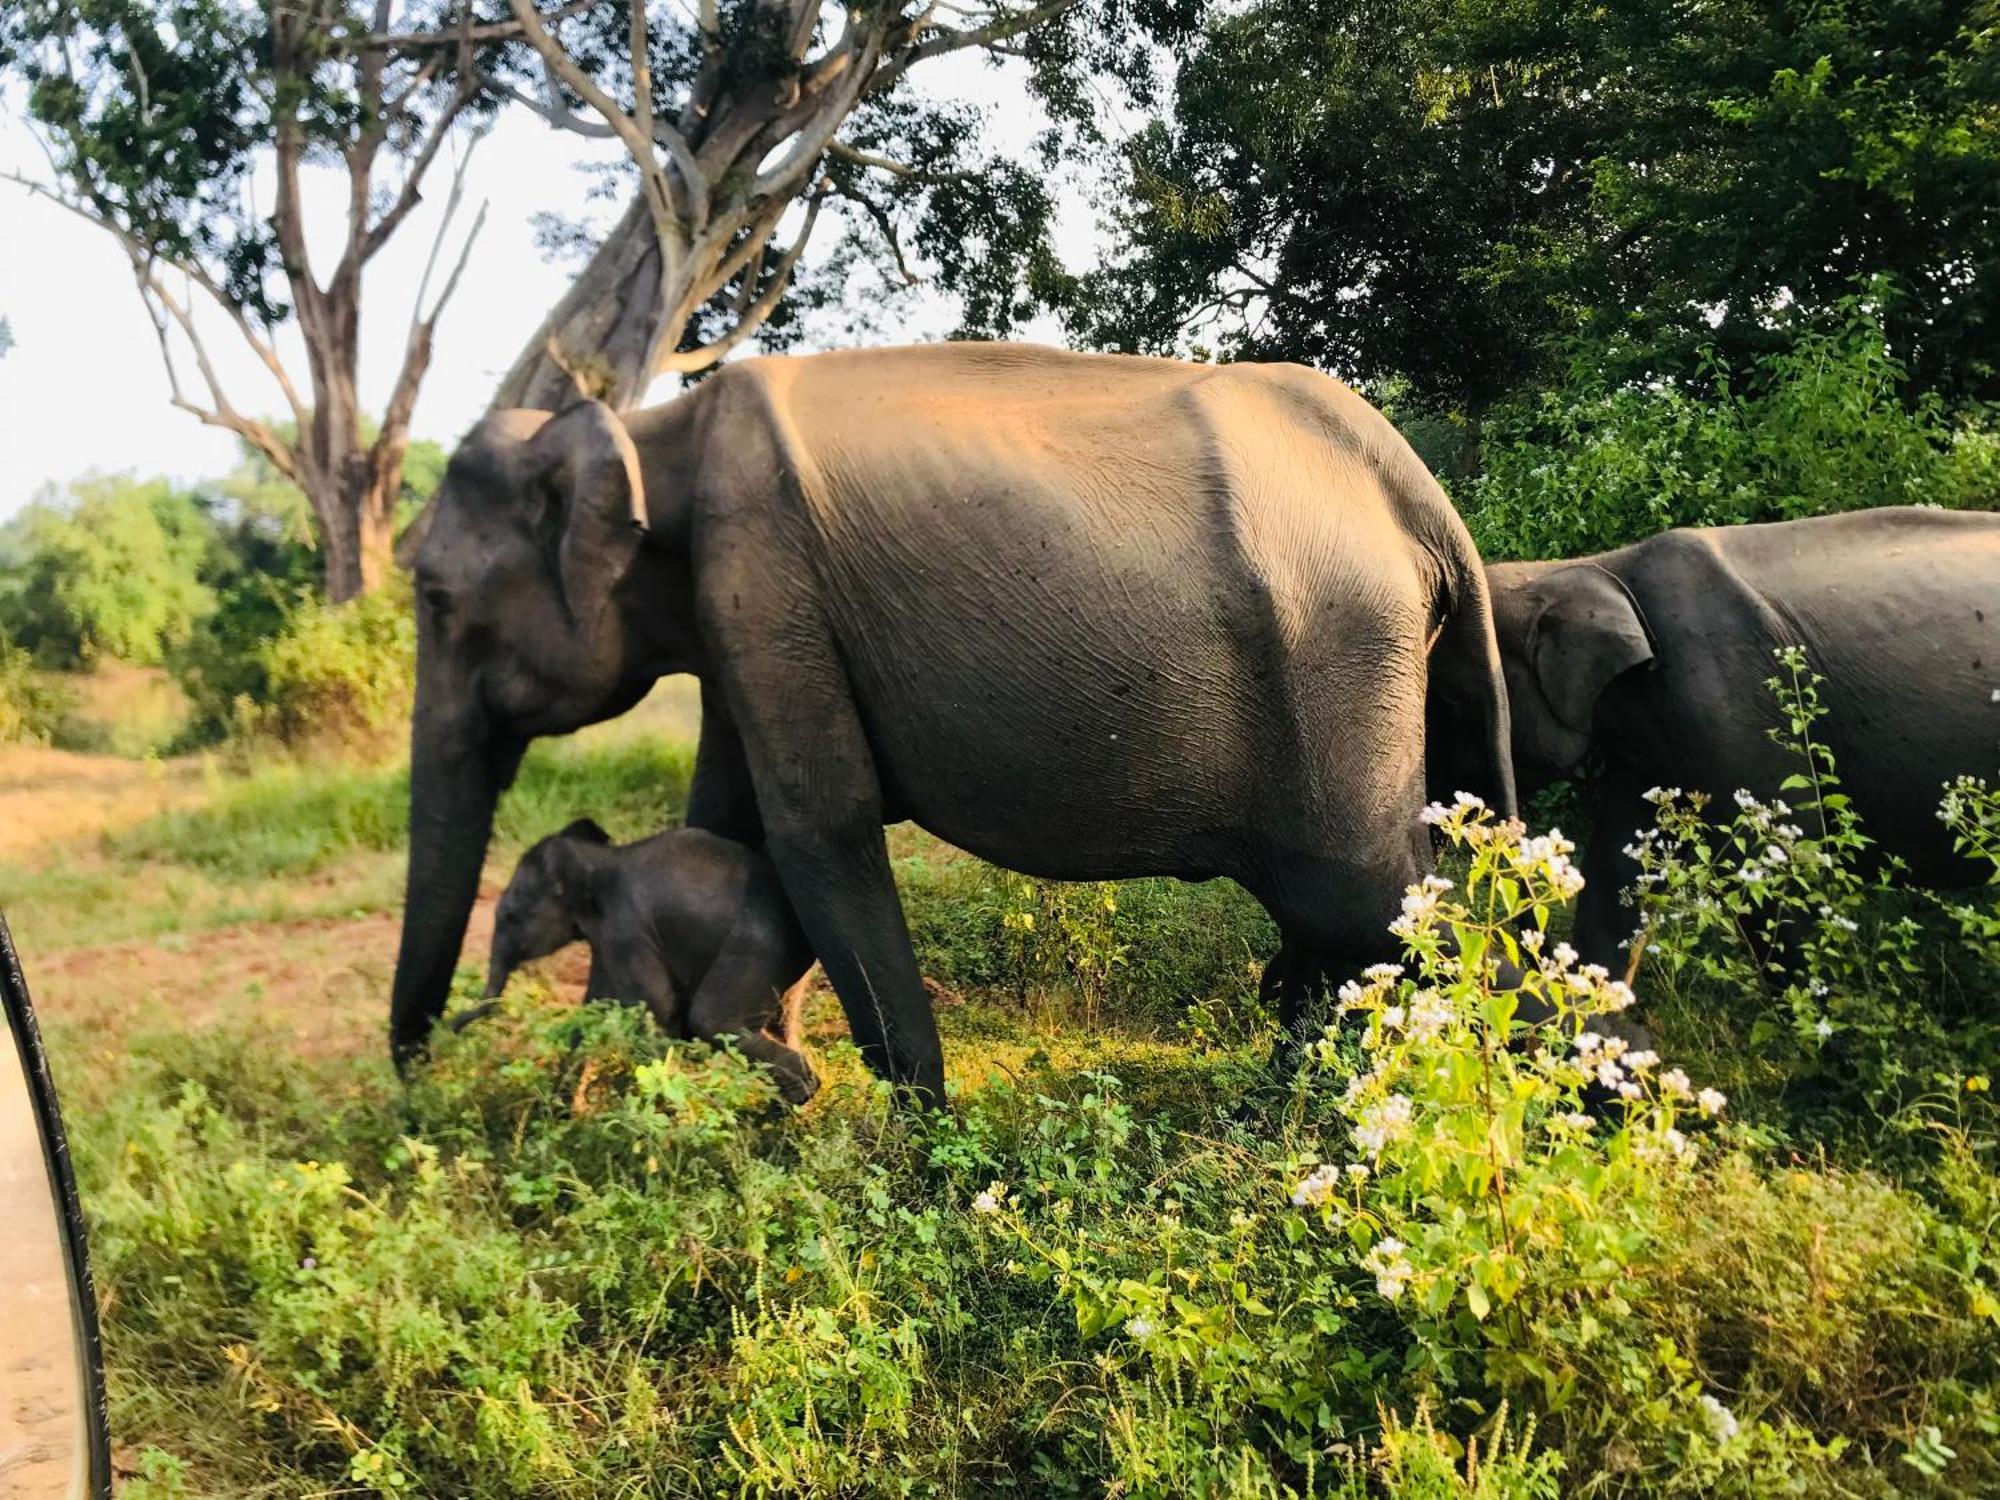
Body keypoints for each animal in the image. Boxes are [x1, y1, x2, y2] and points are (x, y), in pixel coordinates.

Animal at [472, 824, 816, 1104]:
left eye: (510, 917)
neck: (599, 858)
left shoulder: (627, 933)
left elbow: (657, 1011)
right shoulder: (607, 941)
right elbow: (593, 1009)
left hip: (757, 945)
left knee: (712, 1021)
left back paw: (796, 1096)